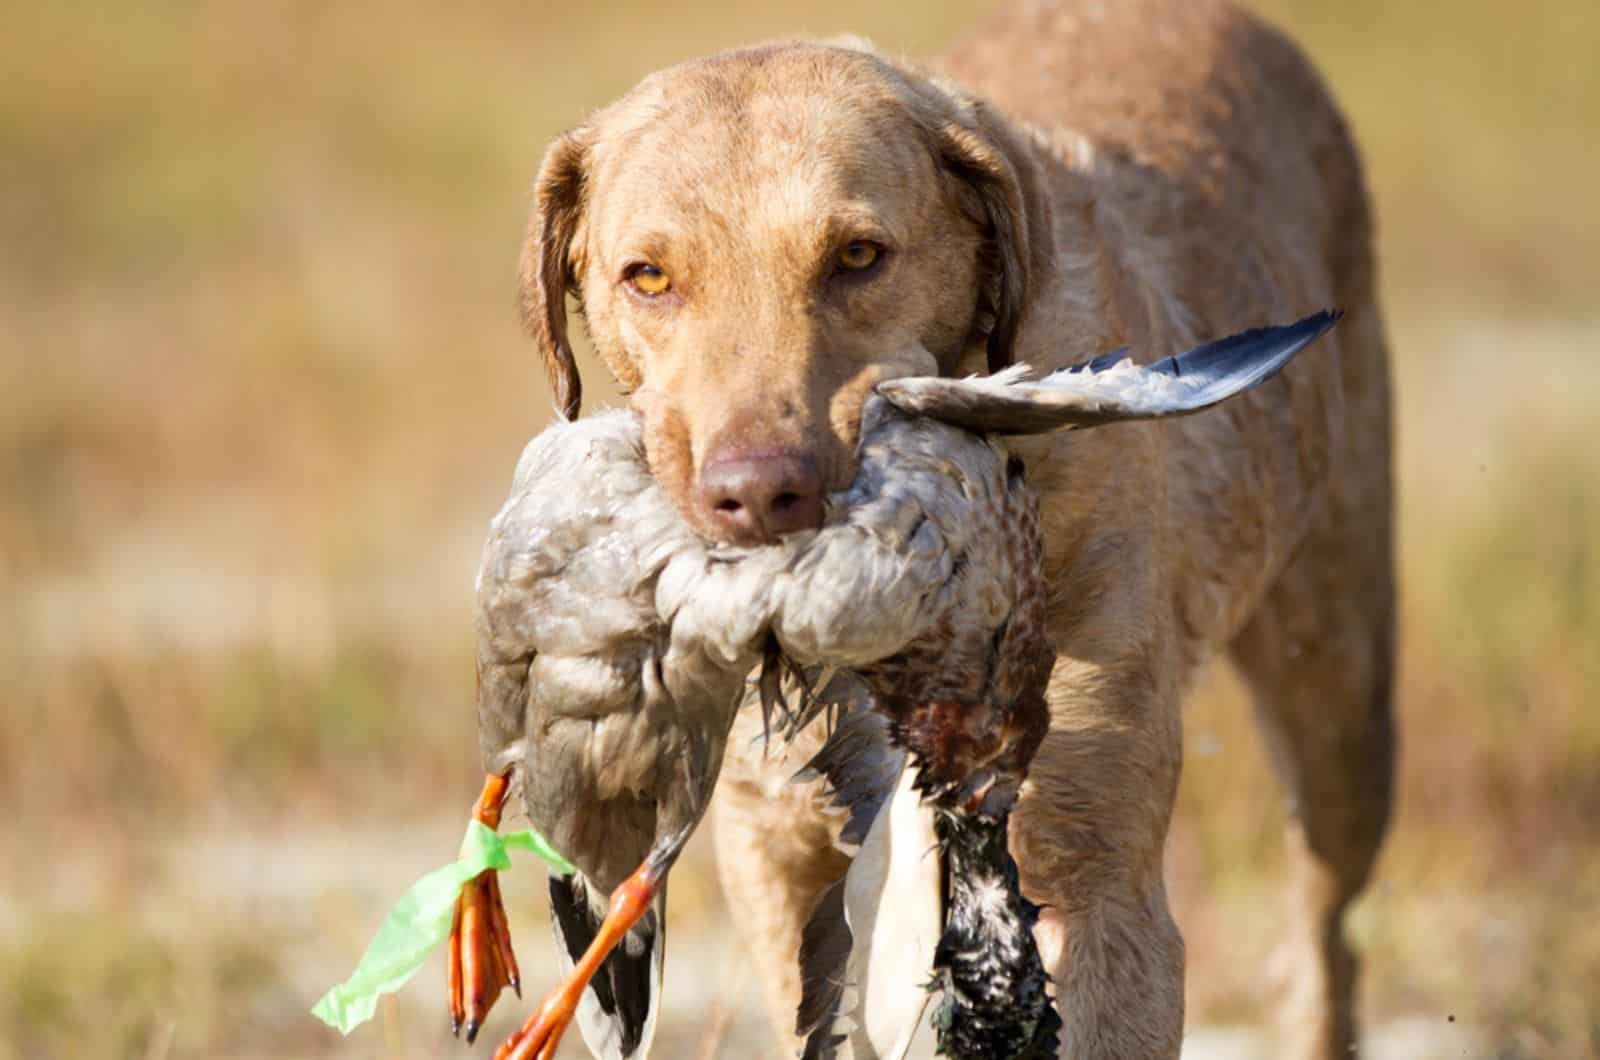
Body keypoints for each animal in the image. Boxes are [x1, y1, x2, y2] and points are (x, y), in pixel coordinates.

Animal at [518, 4, 1395, 1056]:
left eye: (858, 256)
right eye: (647, 277)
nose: (759, 494)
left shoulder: (1100, 885)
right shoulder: (775, 863)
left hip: (1340, 706)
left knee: (1327, 935)